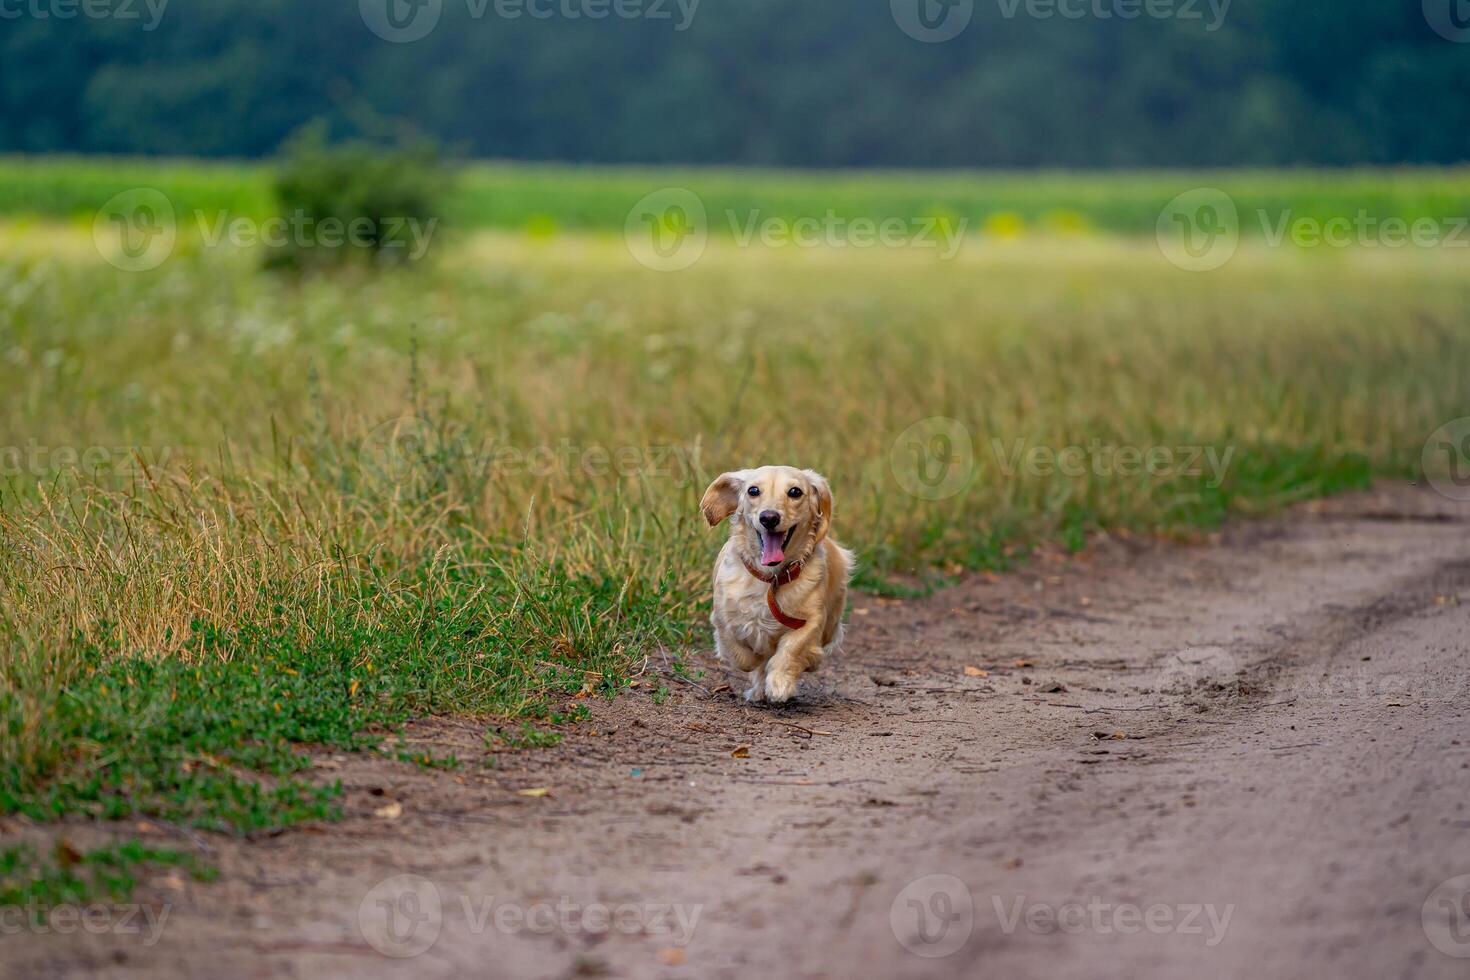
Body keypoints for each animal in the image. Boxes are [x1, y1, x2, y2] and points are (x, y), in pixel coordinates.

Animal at [702, 467, 858, 705]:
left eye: (795, 492)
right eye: (753, 490)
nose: (769, 517)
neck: (771, 578)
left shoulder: (811, 620)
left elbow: (792, 649)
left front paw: (780, 683)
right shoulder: (723, 617)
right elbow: (740, 654)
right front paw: (756, 663)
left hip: (831, 621)